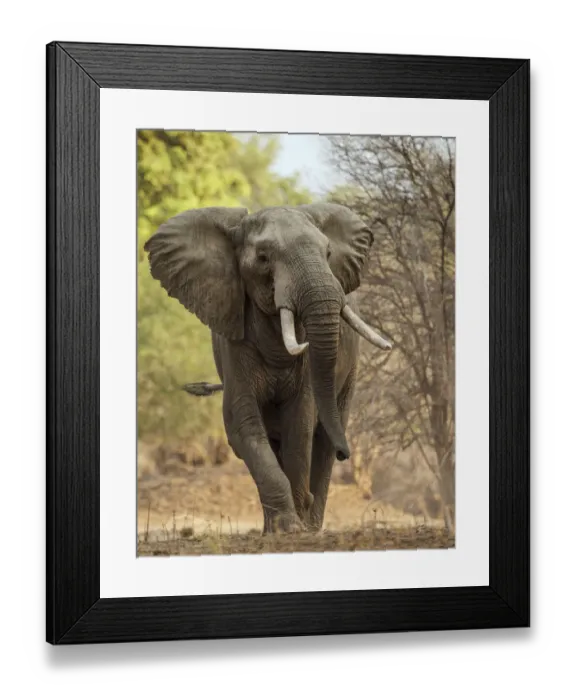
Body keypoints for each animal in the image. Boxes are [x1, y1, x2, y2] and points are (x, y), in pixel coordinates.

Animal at [144, 203, 392, 534]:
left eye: (328, 253)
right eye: (263, 258)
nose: (346, 453)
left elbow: (299, 425)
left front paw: (297, 527)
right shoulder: (234, 341)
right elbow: (243, 424)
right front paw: (284, 528)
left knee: (323, 438)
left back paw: (313, 526)